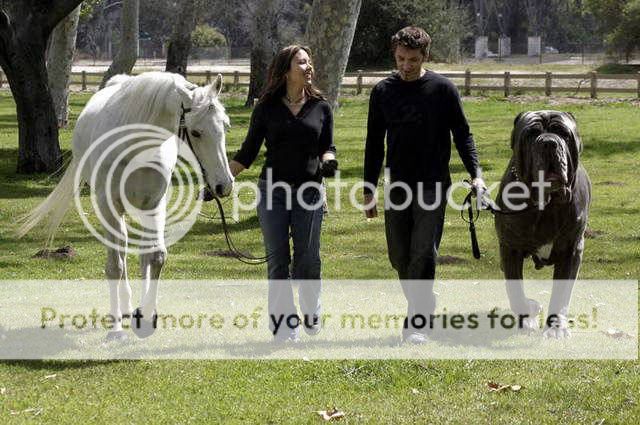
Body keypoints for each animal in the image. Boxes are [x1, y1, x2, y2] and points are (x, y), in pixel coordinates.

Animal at [18, 71, 235, 340]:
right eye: (195, 132)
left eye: (225, 126)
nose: (224, 185)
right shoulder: (108, 206)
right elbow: (115, 266)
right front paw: (116, 329)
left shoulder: (154, 204)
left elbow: (156, 256)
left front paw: (147, 315)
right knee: (120, 252)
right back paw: (123, 309)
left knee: (141, 254)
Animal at [496, 110, 592, 338]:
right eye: (531, 134)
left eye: (563, 133)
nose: (549, 143)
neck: (547, 203)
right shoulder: (510, 247)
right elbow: (515, 290)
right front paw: (528, 314)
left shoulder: (571, 250)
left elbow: (561, 293)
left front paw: (556, 329)